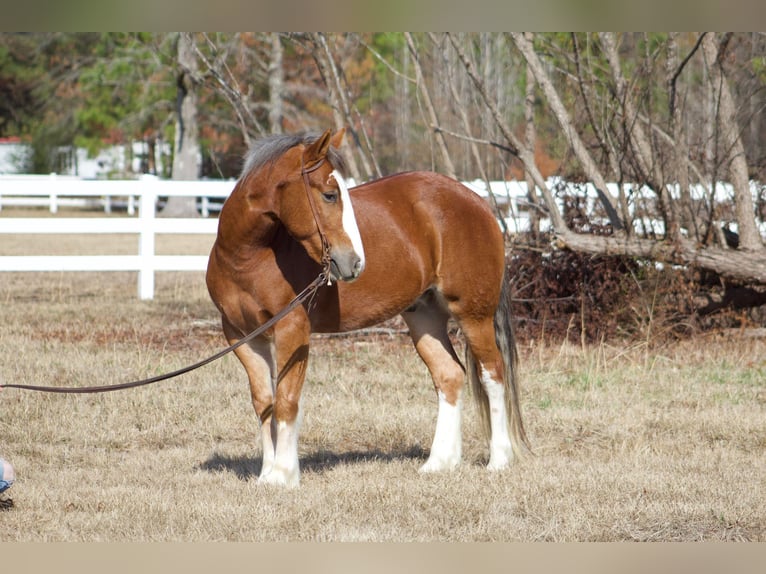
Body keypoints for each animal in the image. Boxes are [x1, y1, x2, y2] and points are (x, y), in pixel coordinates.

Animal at [204, 129, 532, 486]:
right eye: (330, 195)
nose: (354, 262)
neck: (247, 257)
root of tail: (478, 203)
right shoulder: (242, 337)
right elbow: (264, 402)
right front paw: (266, 475)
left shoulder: (292, 331)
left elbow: (286, 402)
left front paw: (283, 475)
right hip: (425, 318)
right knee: (449, 375)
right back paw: (440, 462)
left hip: (474, 315)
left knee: (492, 374)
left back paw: (499, 460)